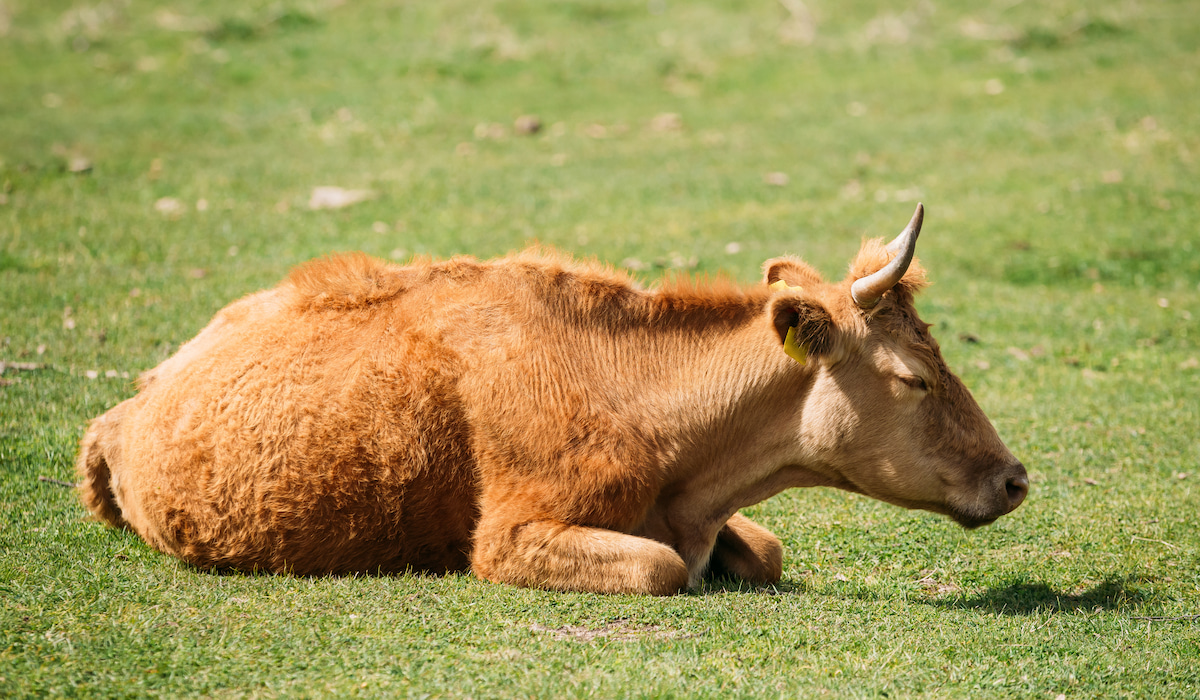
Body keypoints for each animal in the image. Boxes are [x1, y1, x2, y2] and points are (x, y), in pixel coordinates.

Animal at [77, 204, 1027, 595]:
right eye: (913, 376)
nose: (1015, 477)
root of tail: (128, 406)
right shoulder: (510, 534)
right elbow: (659, 570)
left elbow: (764, 551)